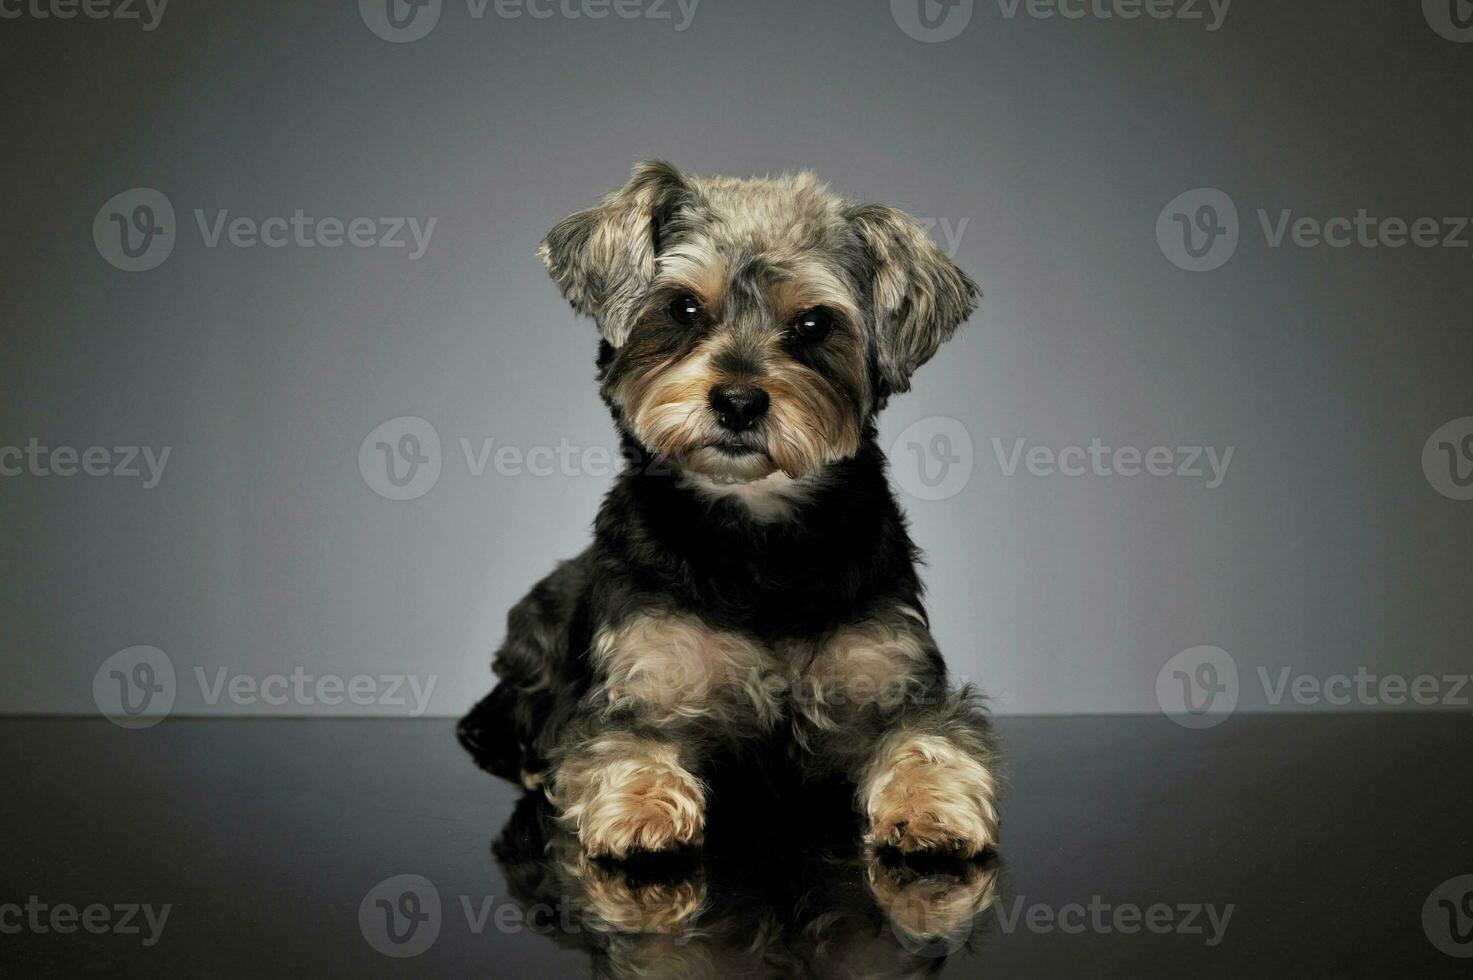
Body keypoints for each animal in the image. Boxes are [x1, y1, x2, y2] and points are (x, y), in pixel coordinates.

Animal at [462, 162, 1001, 866]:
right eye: (684, 307)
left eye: (814, 324)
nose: (739, 402)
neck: (755, 540)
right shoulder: (643, 680)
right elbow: (620, 741)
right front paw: (641, 806)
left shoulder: (891, 675)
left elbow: (929, 737)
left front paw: (931, 806)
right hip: (534, 627)